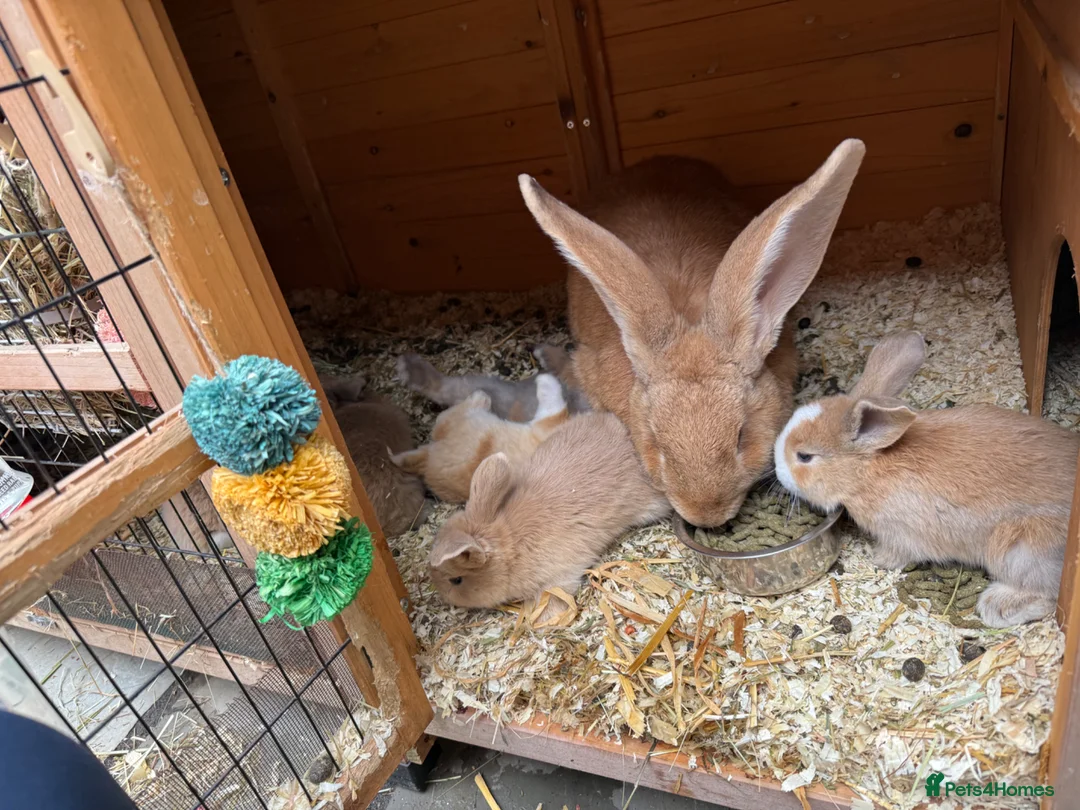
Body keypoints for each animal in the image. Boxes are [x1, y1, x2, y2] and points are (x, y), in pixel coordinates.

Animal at [773, 331, 1080, 627]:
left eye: (804, 456)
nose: (776, 469)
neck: (867, 471)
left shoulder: (899, 534)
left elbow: (897, 554)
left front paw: (878, 559)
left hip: (1019, 551)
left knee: (1046, 594)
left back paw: (997, 606)